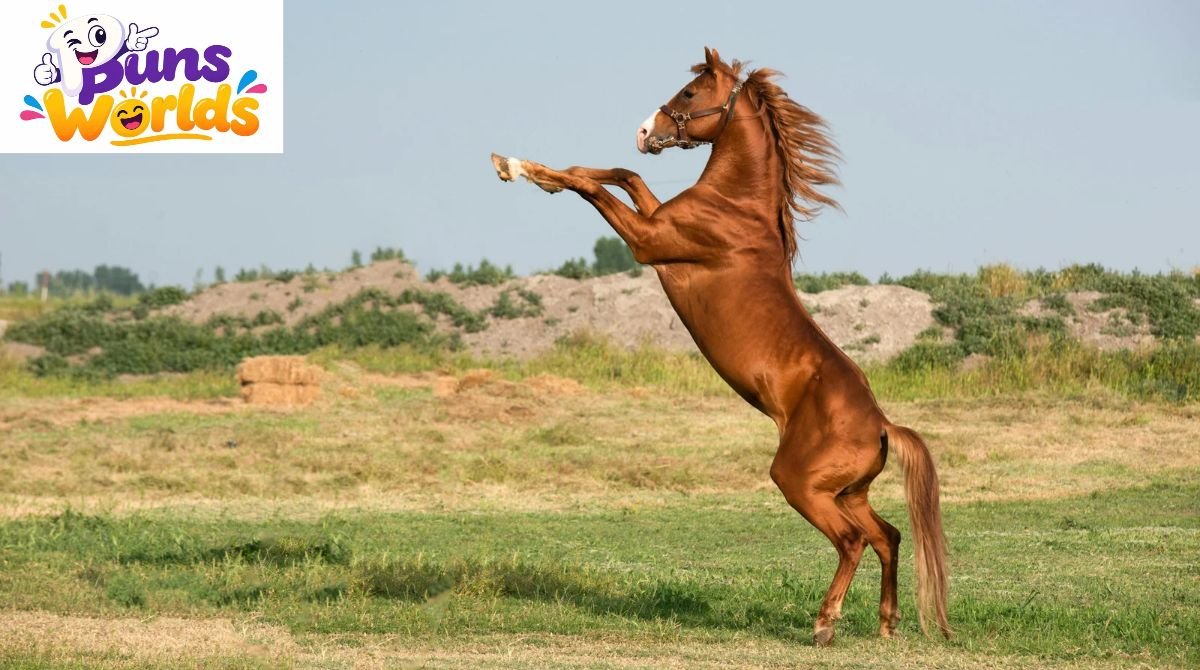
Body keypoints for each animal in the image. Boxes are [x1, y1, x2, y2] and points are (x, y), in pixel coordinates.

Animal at [491, 47, 949, 646]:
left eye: (689, 94)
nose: (645, 131)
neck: (736, 208)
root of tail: (882, 426)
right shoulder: (654, 220)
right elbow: (622, 174)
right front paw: (524, 166)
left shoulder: (648, 242)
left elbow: (601, 187)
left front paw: (519, 169)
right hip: (848, 493)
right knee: (887, 535)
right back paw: (887, 624)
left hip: (801, 485)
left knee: (852, 541)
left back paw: (824, 624)